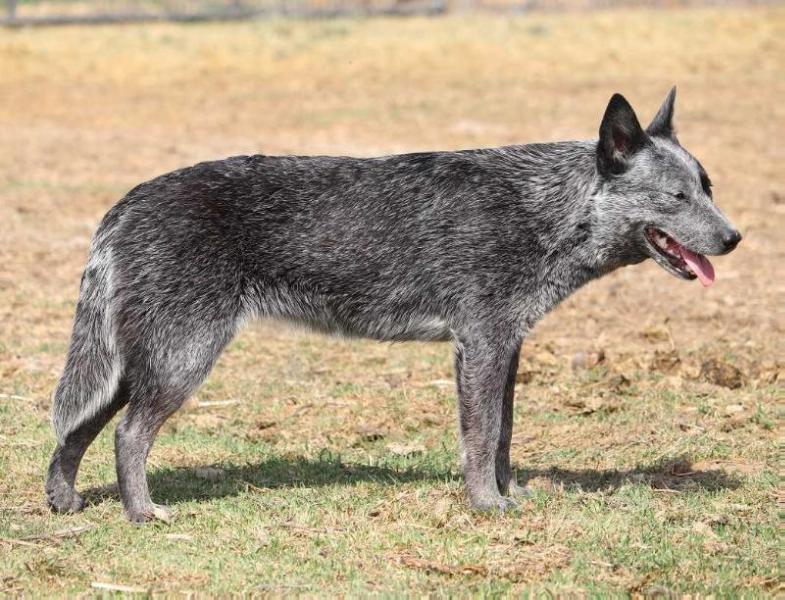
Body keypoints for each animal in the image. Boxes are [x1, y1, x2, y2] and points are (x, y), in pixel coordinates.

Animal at [44, 88, 740, 520]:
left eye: (708, 187)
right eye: (677, 197)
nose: (735, 238)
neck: (546, 208)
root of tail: (128, 202)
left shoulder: (505, 348)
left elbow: (504, 436)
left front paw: (508, 494)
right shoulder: (481, 344)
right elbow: (482, 437)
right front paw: (486, 507)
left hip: (131, 364)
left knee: (77, 430)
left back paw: (64, 503)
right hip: (180, 361)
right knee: (128, 435)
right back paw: (142, 512)